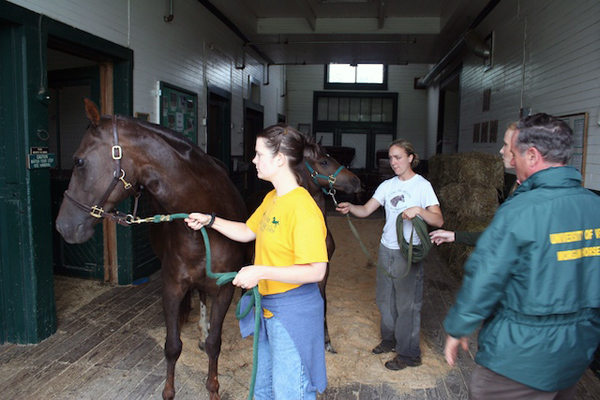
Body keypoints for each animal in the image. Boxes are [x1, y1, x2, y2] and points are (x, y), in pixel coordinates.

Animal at [54, 98, 246, 398]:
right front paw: (168, 391)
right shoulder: (171, 288)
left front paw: (213, 387)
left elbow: (215, 343)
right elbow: (173, 346)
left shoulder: (225, 289)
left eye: (79, 161)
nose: (63, 226)